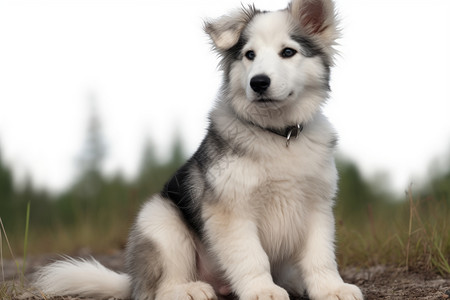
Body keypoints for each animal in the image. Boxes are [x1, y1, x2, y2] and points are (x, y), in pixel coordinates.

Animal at [34, 0, 366, 300]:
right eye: (249, 55)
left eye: (288, 52)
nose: (258, 83)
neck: (278, 135)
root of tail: (133, 279)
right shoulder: (230, 211)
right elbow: (252, 256)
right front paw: (262, 290)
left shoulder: (317, 208)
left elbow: (320, 257)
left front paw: (331, 289)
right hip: (161, 223)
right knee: (158, 289)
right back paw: (189, 290)